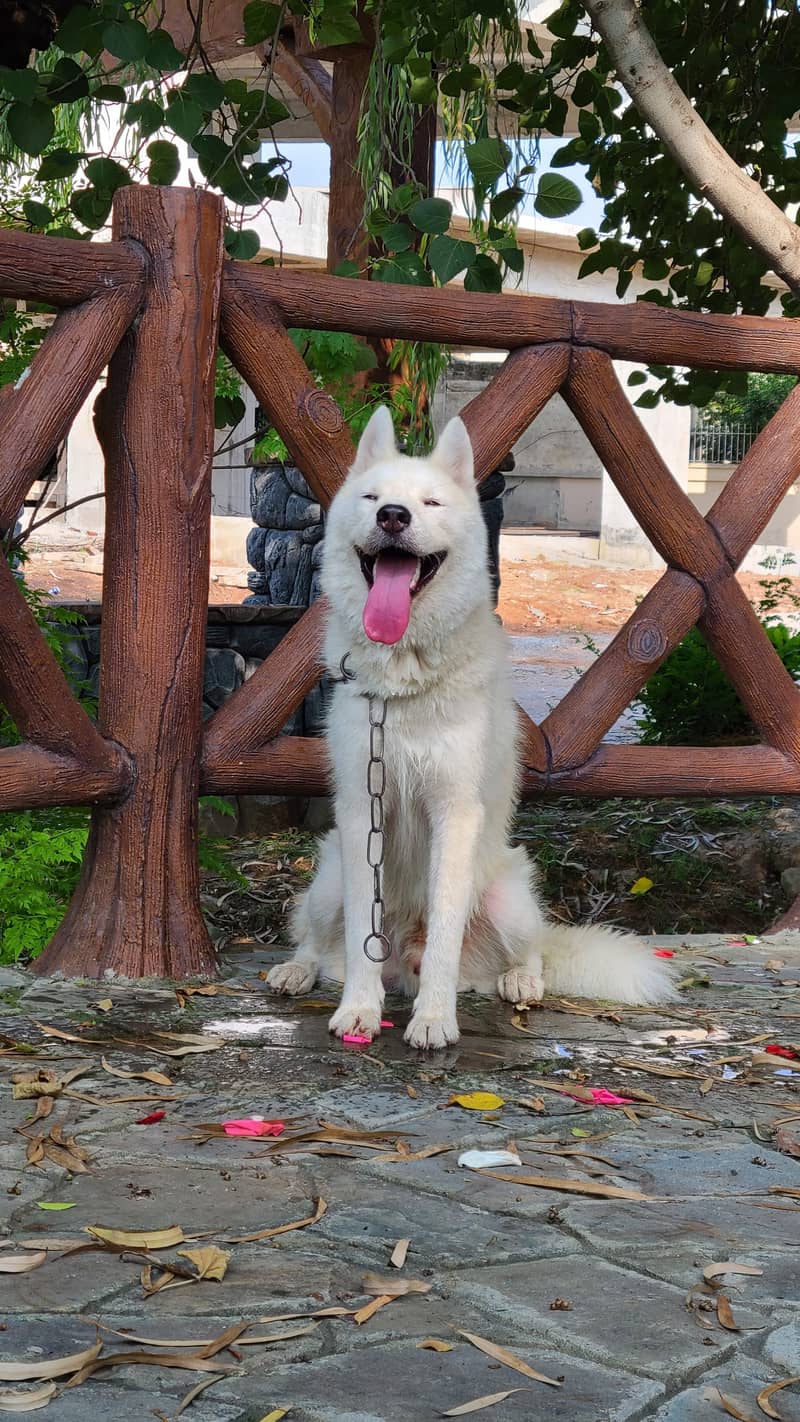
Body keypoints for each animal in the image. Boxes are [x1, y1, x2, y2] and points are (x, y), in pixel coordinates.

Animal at [267, 406, 676, 1052]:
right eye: (372, 497)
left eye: (430, 503)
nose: (393, 515)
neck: (403, 683)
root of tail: (400, 963)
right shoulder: (361, 813)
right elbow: (359, 934)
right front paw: (359, 1009)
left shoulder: (454, 814)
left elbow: (443, 939)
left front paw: (434, 1019)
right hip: (330, 875)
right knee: (320, 941)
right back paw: (298, 970)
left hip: (509, 897)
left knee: (530, 953)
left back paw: (518, 981)